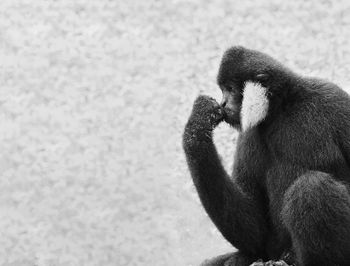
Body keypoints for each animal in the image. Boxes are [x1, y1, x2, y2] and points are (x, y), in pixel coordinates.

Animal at [182, 46, 350, 264]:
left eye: (230, 89)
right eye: (223, 90)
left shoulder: (333, 100)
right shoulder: (248, 137)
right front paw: (197, 126)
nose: (224, 102)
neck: (282, 108)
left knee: (312, 188)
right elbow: (256, 232)